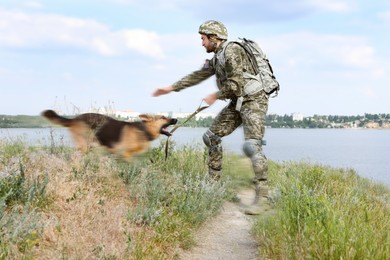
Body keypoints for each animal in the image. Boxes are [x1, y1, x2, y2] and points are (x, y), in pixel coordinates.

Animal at [42, 109, 177, 160]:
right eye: (163, 117)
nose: (176, 119)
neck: (143, 130)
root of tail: (74, 119)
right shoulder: (124, 154)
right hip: (84, 146)